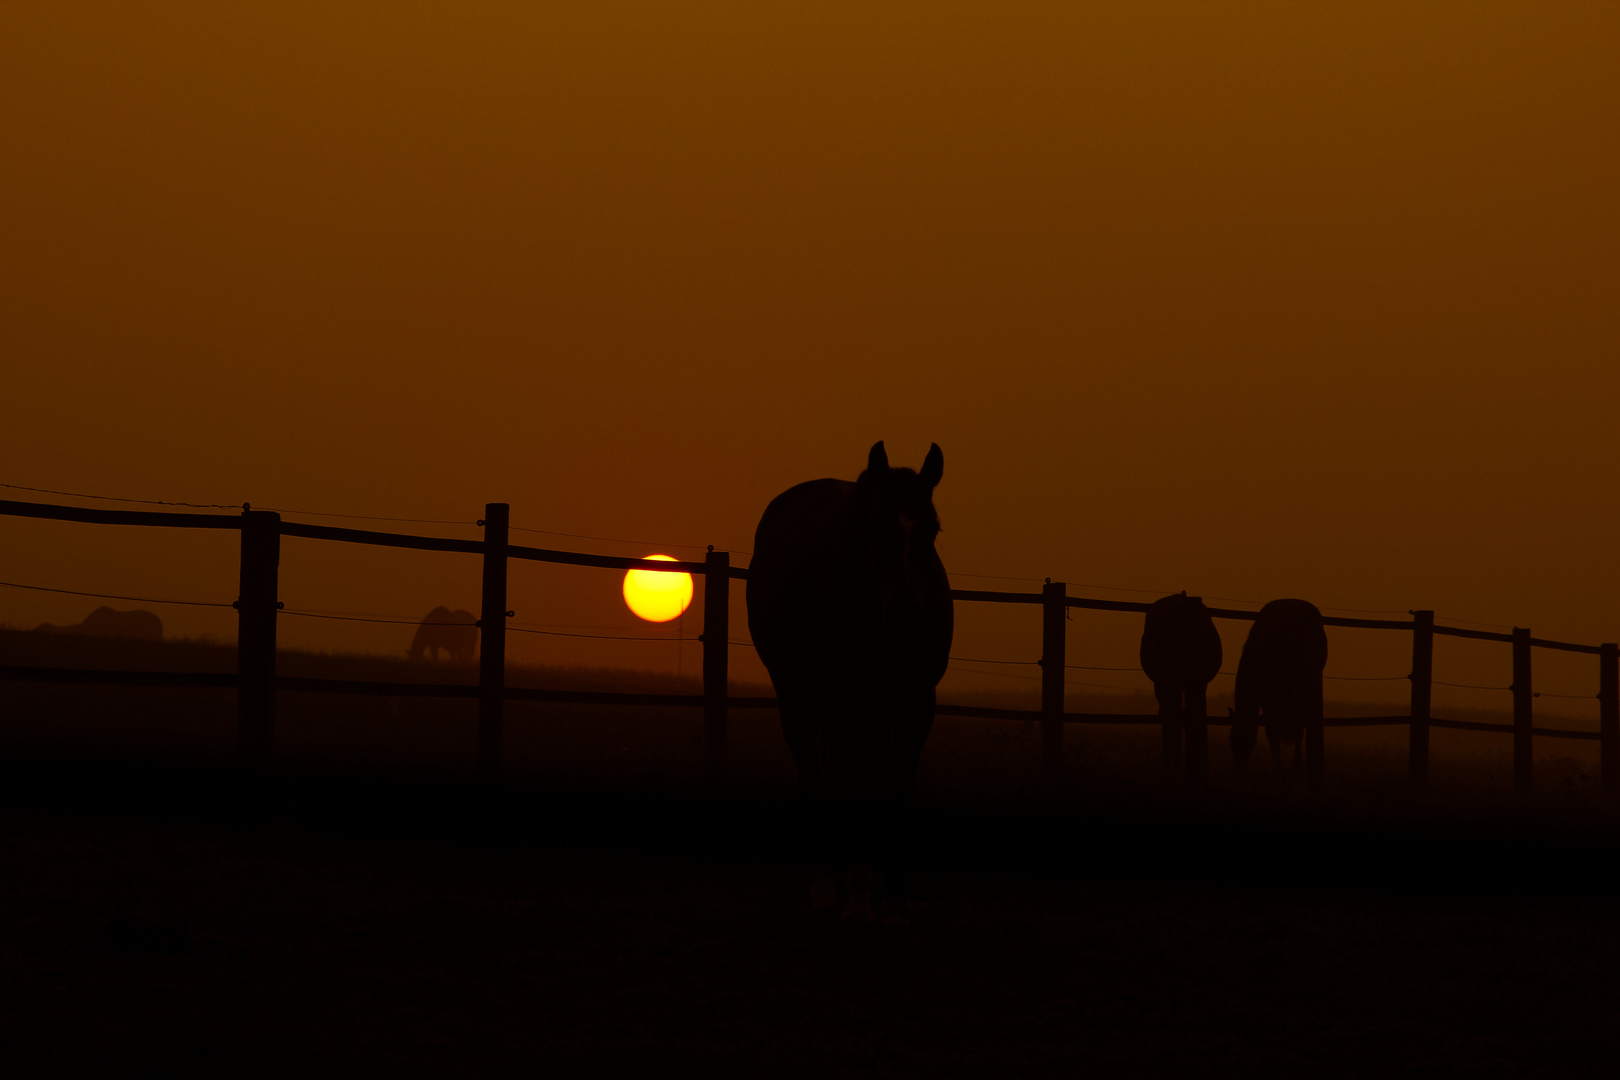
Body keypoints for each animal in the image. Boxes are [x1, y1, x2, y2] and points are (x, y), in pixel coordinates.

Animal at [741, 443, 946, 926]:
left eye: (932, 528)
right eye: (875, 526)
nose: (904, 617)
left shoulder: (916, 703)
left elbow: (897, 792)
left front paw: (894, 897)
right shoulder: (848, 700)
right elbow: (856, 788)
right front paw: (858, 896)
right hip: (800, 698)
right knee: (815, 780)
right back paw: (823, 888)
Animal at [1231, 599, 1321, 777]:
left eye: (1240, 737)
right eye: (1233, 739)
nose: (1237, 767)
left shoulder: (1270, 695)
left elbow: (1273, 729)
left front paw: (1278, 767)